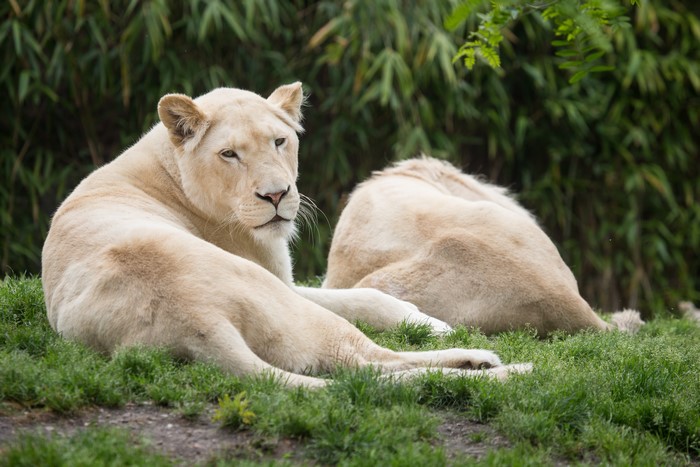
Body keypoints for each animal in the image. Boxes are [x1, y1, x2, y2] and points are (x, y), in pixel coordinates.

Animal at [41, 84, 531, 387]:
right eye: (229, 154)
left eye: (279, 141)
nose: (276, 195)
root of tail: (194, 320)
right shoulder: (282, 282)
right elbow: (364, 298)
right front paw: (433, 323)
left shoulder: (288, 283)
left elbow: (367, 297)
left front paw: (424, 319)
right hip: (283, 303)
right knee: (368, 361)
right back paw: (500, 367)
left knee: (362, 374)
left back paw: (478, 363)